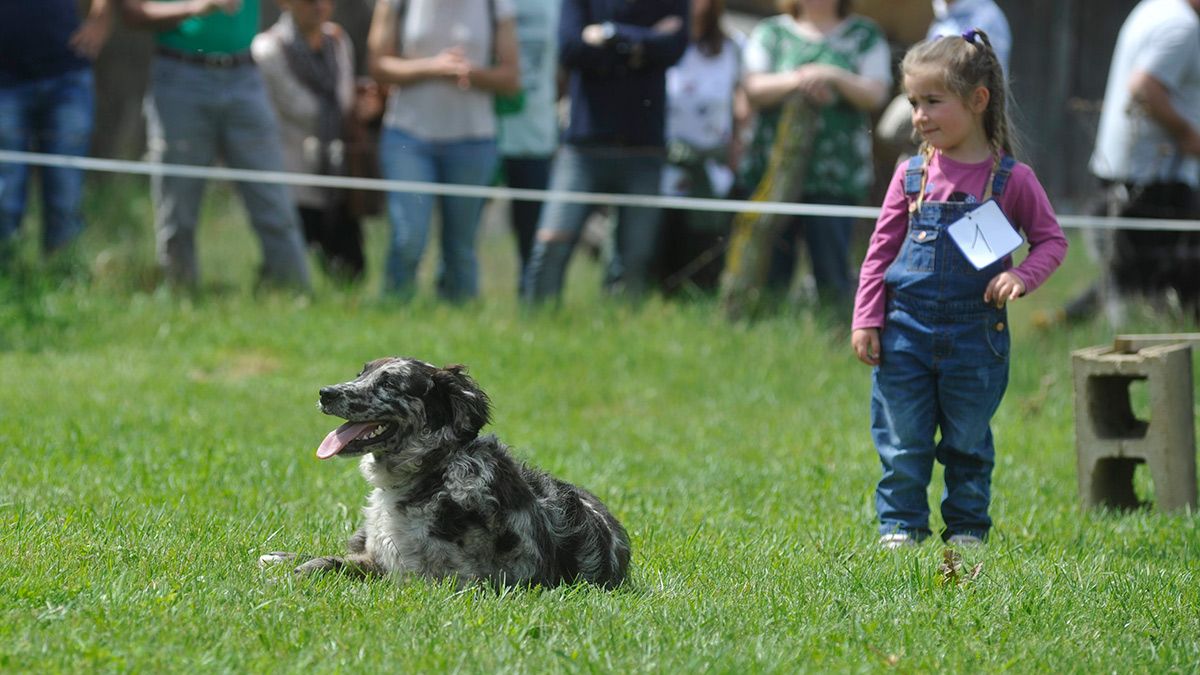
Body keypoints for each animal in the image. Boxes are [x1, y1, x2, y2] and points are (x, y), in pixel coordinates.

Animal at [259, 355, 633, 586]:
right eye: (360, 374)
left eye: (390, 384)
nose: (326, 393)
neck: (433, 473)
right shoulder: (376, 553)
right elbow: (328, 559)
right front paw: (281, 559)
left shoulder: (425, 578)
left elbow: (337, 567)